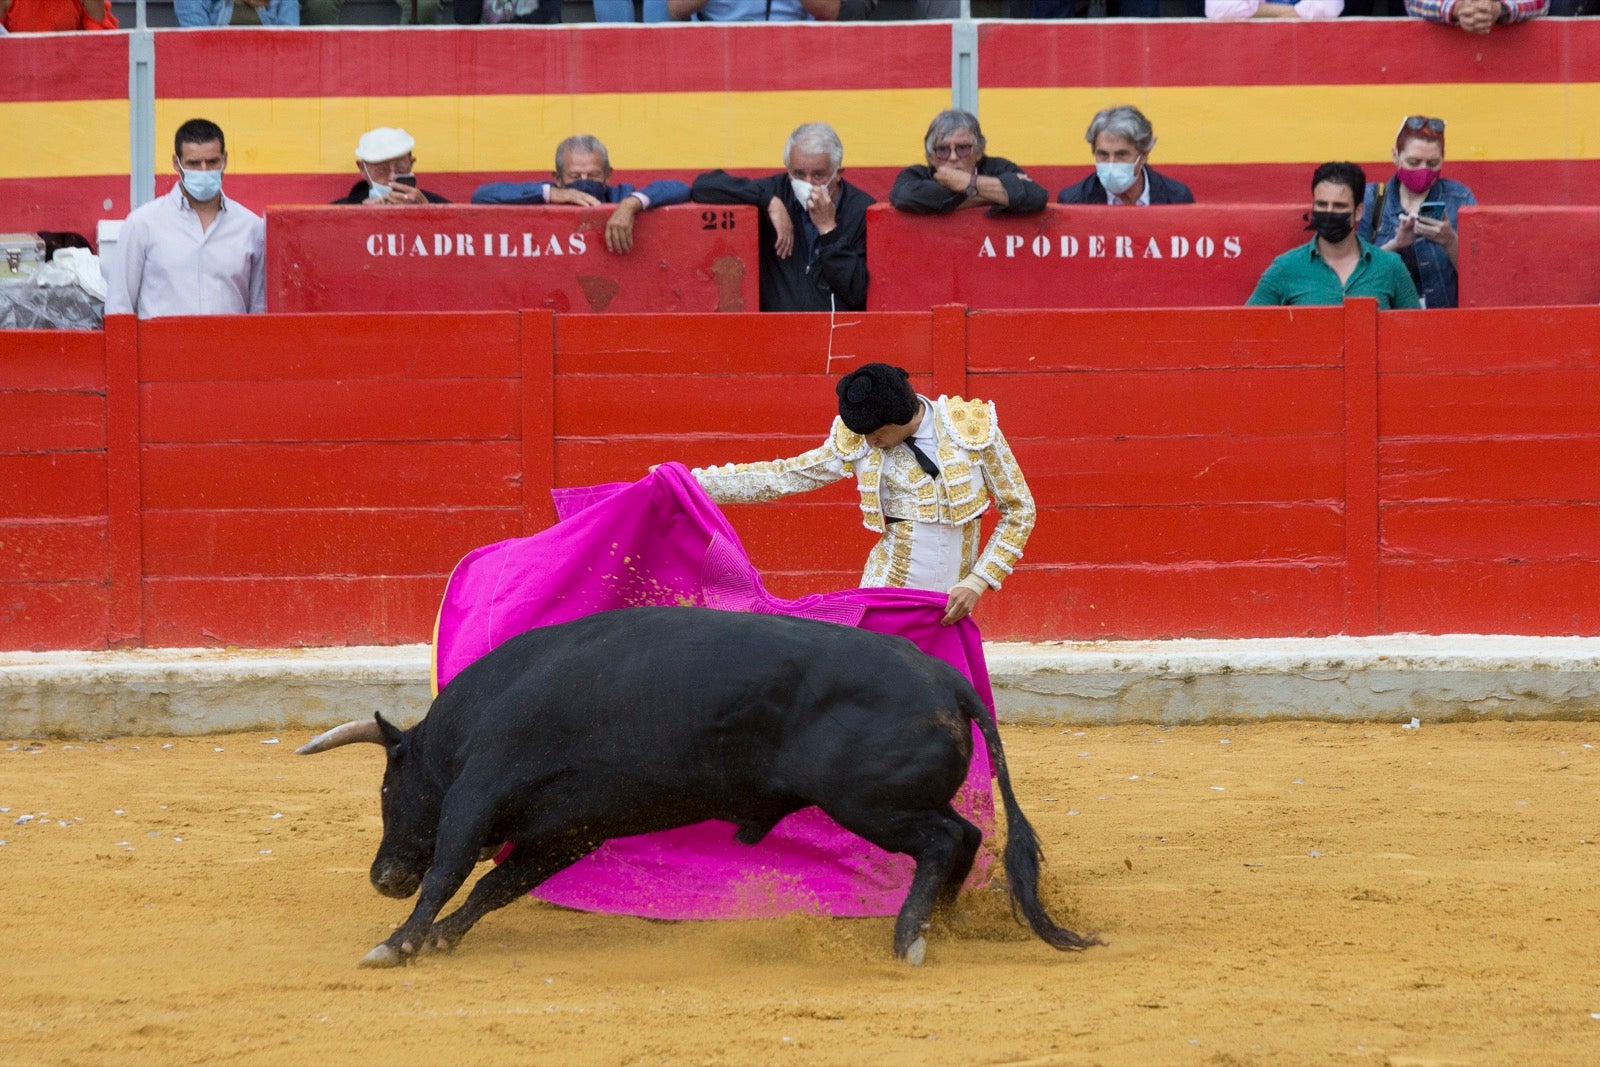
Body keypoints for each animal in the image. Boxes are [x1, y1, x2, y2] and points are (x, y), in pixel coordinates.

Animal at [300, 607, 1100, 966]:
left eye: (386, 791)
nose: (381, 877)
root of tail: (947, 682)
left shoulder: (478, 795)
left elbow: (448, 870)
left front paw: (397, 943)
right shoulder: (566, 830)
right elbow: (495, 885)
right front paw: (437, 938)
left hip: (870, 803)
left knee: (941, 839)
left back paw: (908, 935)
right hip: (892, 802)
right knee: (965, 836)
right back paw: (944, 923)